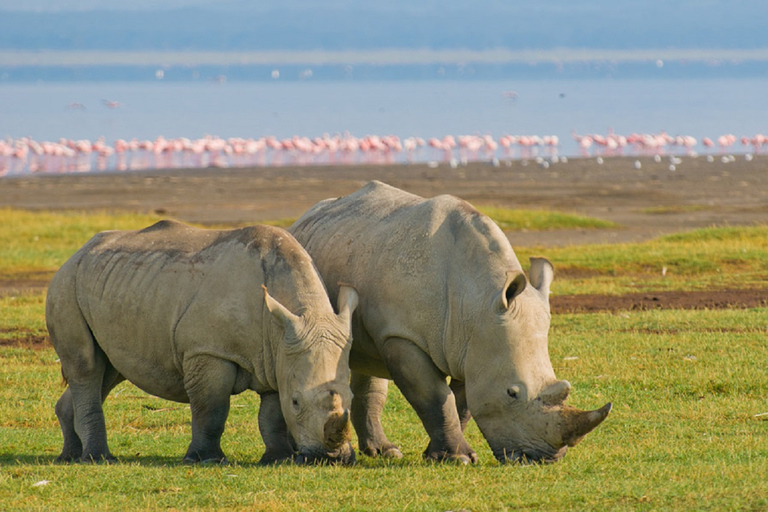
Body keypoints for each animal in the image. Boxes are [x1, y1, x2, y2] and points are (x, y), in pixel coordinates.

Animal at [46, 219, 358, 464]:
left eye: (352, 398)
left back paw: (70, 456)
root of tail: (76, 253)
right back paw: (98, 458)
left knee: (108, 371)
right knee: (87, 367)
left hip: (113, 283)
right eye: (296, 402)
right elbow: (212, 408)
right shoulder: (208, 351)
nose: (332, 459)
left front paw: (277, 459)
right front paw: (206, 459)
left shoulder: (277, 354)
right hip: (66, 284)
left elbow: (272, 415)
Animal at [292, 181, 616, 464]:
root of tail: (307, 215)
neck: (477, 299)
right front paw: (457, 458)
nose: (544, 458)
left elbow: (463, 402)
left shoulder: (473, 342)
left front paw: (445, 454)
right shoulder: (403, 336)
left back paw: (386, 452)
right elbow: (436, 397)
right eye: (511, 393)